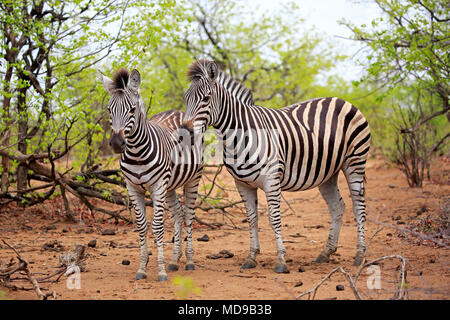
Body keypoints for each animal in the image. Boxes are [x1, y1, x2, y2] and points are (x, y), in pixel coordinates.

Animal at [100, 67, 204, 280]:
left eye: (132, 109)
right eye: (109, 110)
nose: (116, 143)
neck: (136, 153)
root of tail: (178, 111)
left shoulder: (157, 186)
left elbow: (157, 226)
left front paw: (161, 271)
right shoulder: (132, 187)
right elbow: (141, 226)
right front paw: (142, 268)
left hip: (192, 179)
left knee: (189, 214)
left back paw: (189, 261)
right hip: (170, 185)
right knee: (178, 213)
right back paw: (175, 260)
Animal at [181, 59, 370, 272]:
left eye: (206, 98)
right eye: (186, 98)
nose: (185, 131)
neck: (240, 135)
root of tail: (342, 100)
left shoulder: (272, 179)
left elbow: (274, 218)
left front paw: (281, 261)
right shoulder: (243, 184)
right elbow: (252, 219)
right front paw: (251, 257)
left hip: (355, 161)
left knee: (358, 207)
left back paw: (360, 255)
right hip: (328, 172)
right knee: (338, 206)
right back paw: (325, 253)